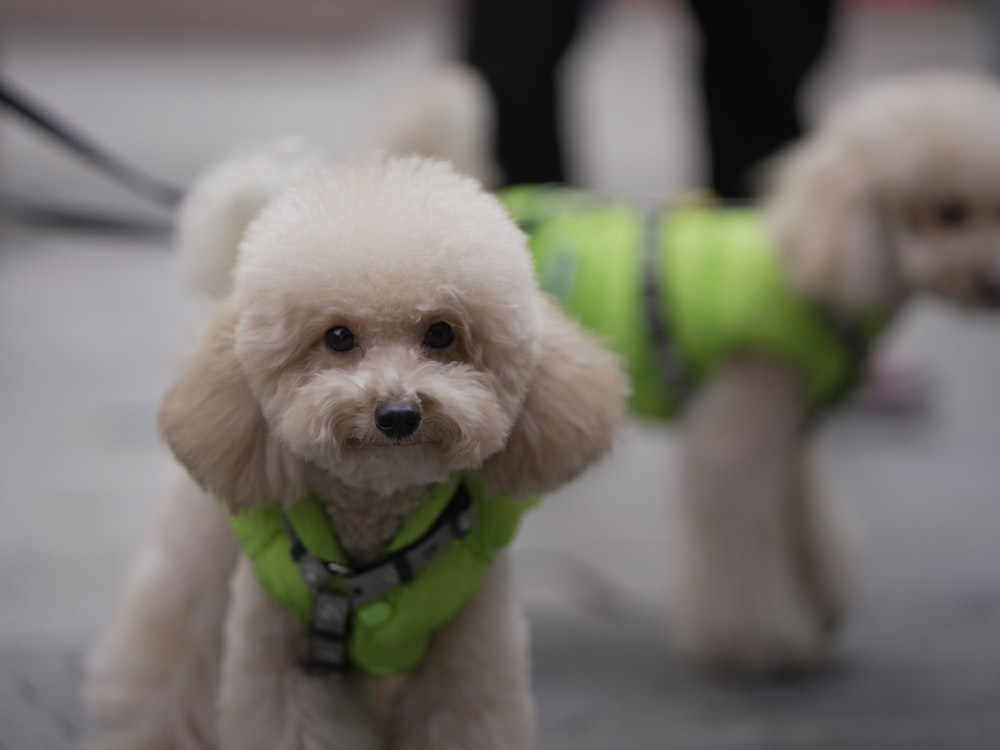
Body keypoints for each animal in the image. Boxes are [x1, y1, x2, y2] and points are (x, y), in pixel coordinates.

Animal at [82, 150, 624, 748]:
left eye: (441, 332)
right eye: (338, 337)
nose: (398, 414)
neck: (372, 539)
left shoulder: (470, 655)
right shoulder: (284, 661)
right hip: (204, 550)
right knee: (178, 644)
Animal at [376, 67, 1000, 672]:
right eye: (948, 213)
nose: (991, 283)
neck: (811, 268)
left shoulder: (787, 436)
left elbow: (802, 519)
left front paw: (822, 604)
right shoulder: (737, 437)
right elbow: (742, 542)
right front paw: (765, 643)